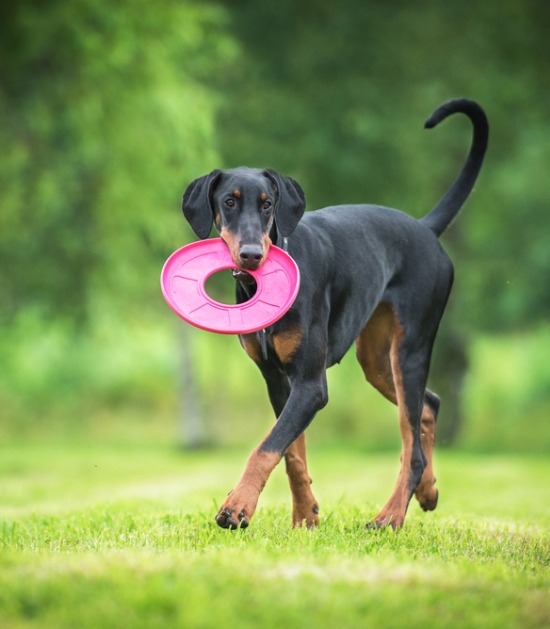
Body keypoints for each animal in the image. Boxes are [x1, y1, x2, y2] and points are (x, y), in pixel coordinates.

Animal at [183, 98, 490, 528]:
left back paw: (389, 517)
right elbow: (291, 452)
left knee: (411, 444)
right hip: (377, 358)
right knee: (428, 407)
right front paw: (305, 517)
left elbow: (266, 447)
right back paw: (427, 492)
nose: (252, 255)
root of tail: (425, 229)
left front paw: (237, 507)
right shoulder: (277, 380)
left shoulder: (311, 385)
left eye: (267, 204)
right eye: (229, 201)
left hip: (410, 349)